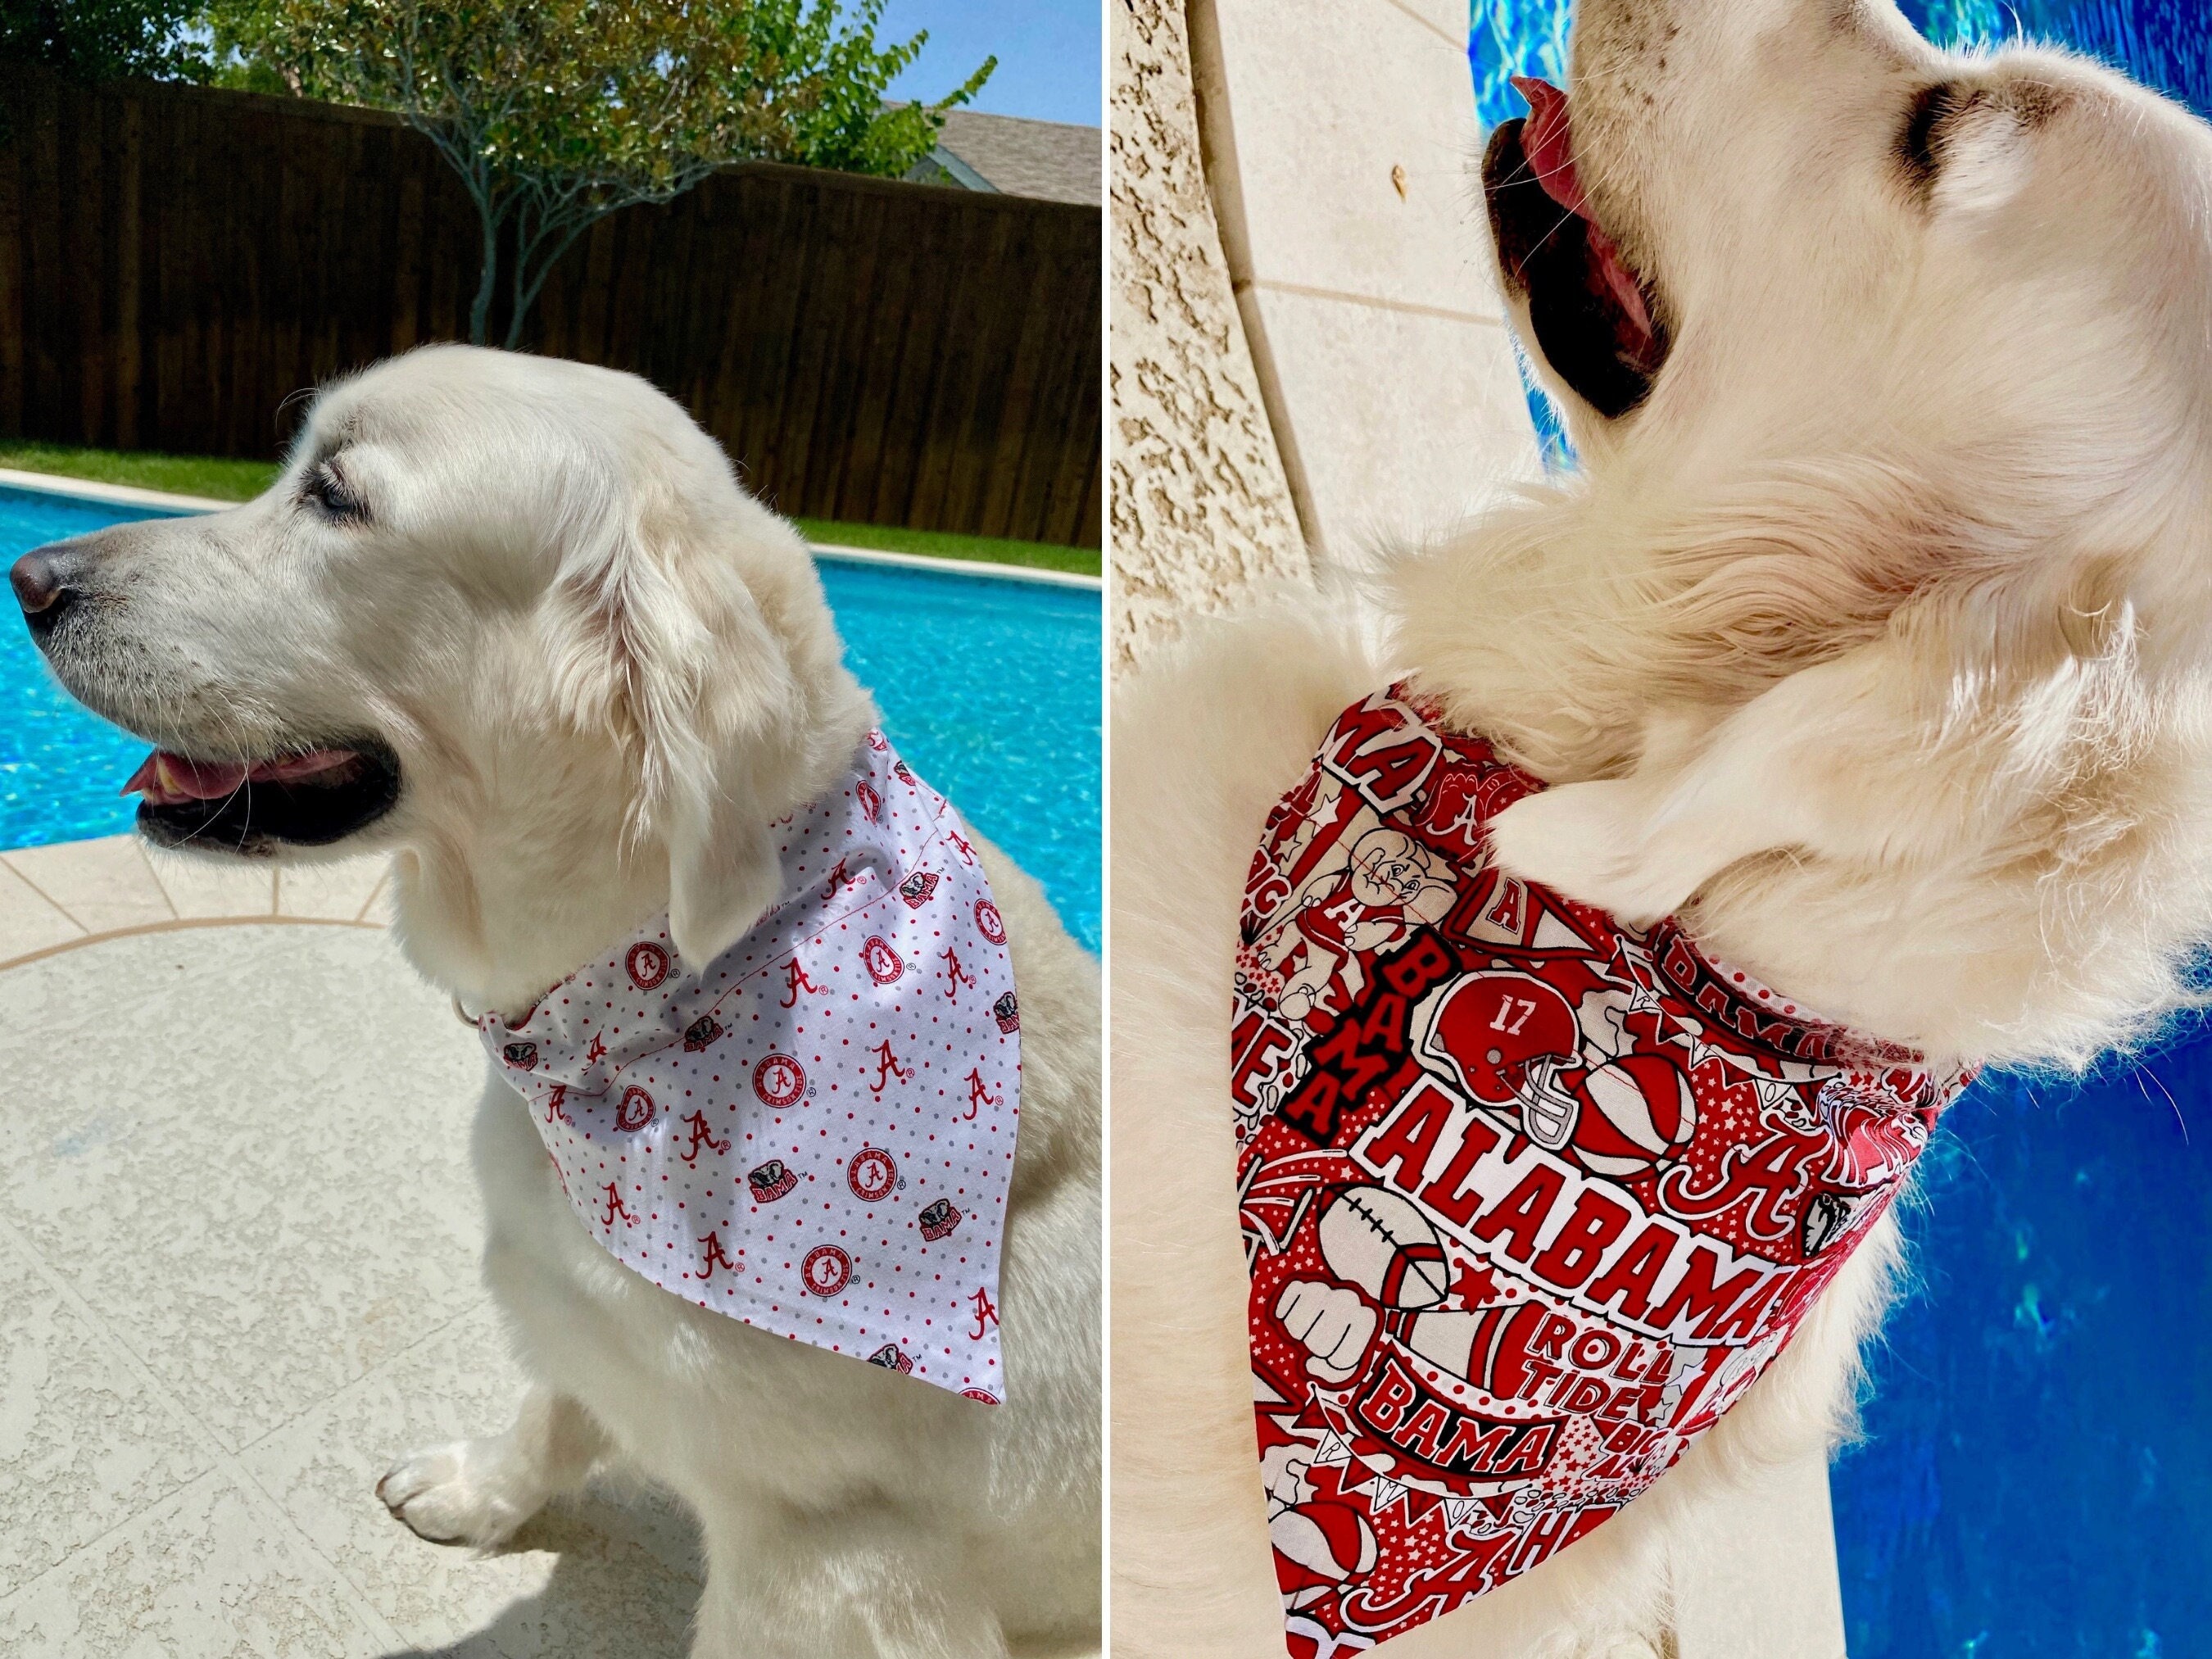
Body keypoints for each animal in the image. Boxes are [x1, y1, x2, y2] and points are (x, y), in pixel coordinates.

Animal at [8, 345, 1097, 1654]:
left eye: (336, 496)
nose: (29, 580)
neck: (648, 985)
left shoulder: (833, 1571)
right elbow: (555, 1407)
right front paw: (481, 1494)